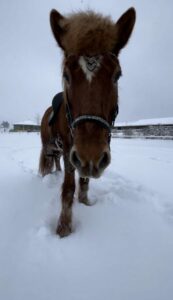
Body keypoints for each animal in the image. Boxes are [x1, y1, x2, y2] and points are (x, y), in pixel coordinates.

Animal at [39, 7, 135, 237]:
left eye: (117, 75)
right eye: (66, 75)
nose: (90, 154)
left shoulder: (86, 157)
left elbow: (84, 182)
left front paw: (84, 202)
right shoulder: (70, 150)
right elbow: (68, 188)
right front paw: (64, 227)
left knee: (56, 162)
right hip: (49, 146)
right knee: (49, 160)